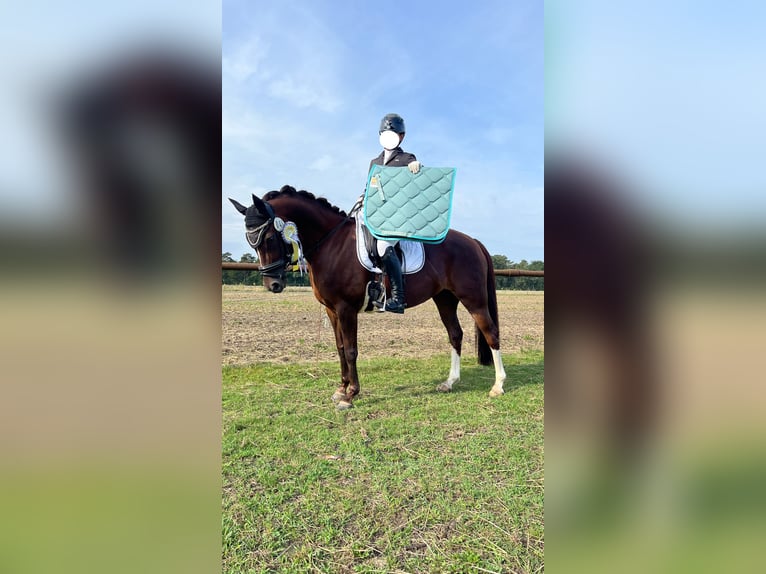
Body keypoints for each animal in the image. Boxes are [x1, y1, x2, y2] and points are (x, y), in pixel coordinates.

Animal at [231, 187, 508, 412]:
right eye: (250, 241)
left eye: (268, 238)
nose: (273, 285)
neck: (331, 244)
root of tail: (472, 241)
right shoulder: (332, 310)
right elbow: (340, 349)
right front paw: (341, 389)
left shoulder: (346, 309)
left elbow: (351, 350)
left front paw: (350, 395)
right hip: (445, 299)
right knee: (455, 334)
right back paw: (450, 382)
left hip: (473, 299)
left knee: (490, 332)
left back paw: (498, 386)